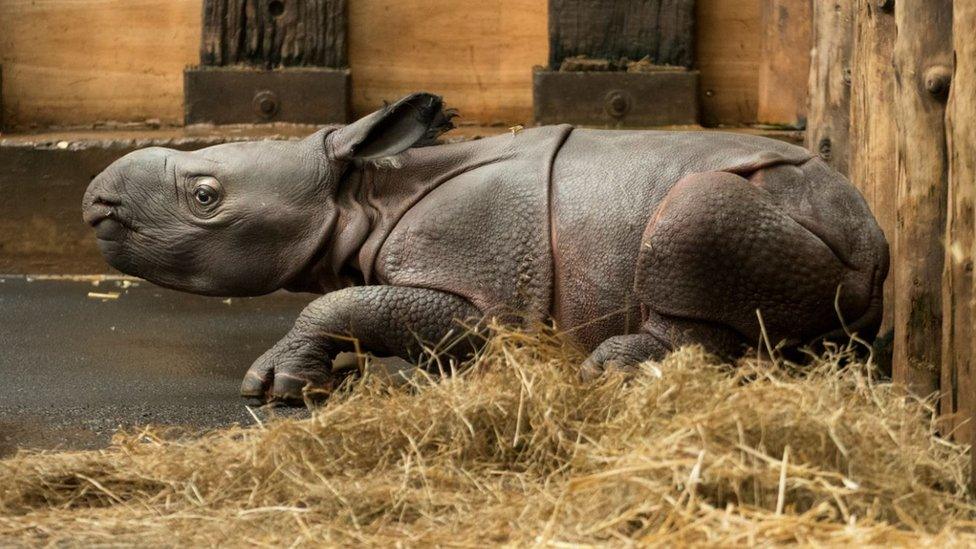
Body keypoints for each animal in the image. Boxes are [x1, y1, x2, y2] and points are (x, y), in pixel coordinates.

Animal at [84, 92, 888, 404]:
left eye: (205, 196)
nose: (95, 202)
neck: (362, 196)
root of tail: (878, 242)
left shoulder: (489, 299)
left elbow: (356, 304)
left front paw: (280, 388)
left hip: (772, 209)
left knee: (693, 214)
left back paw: (613, 371)